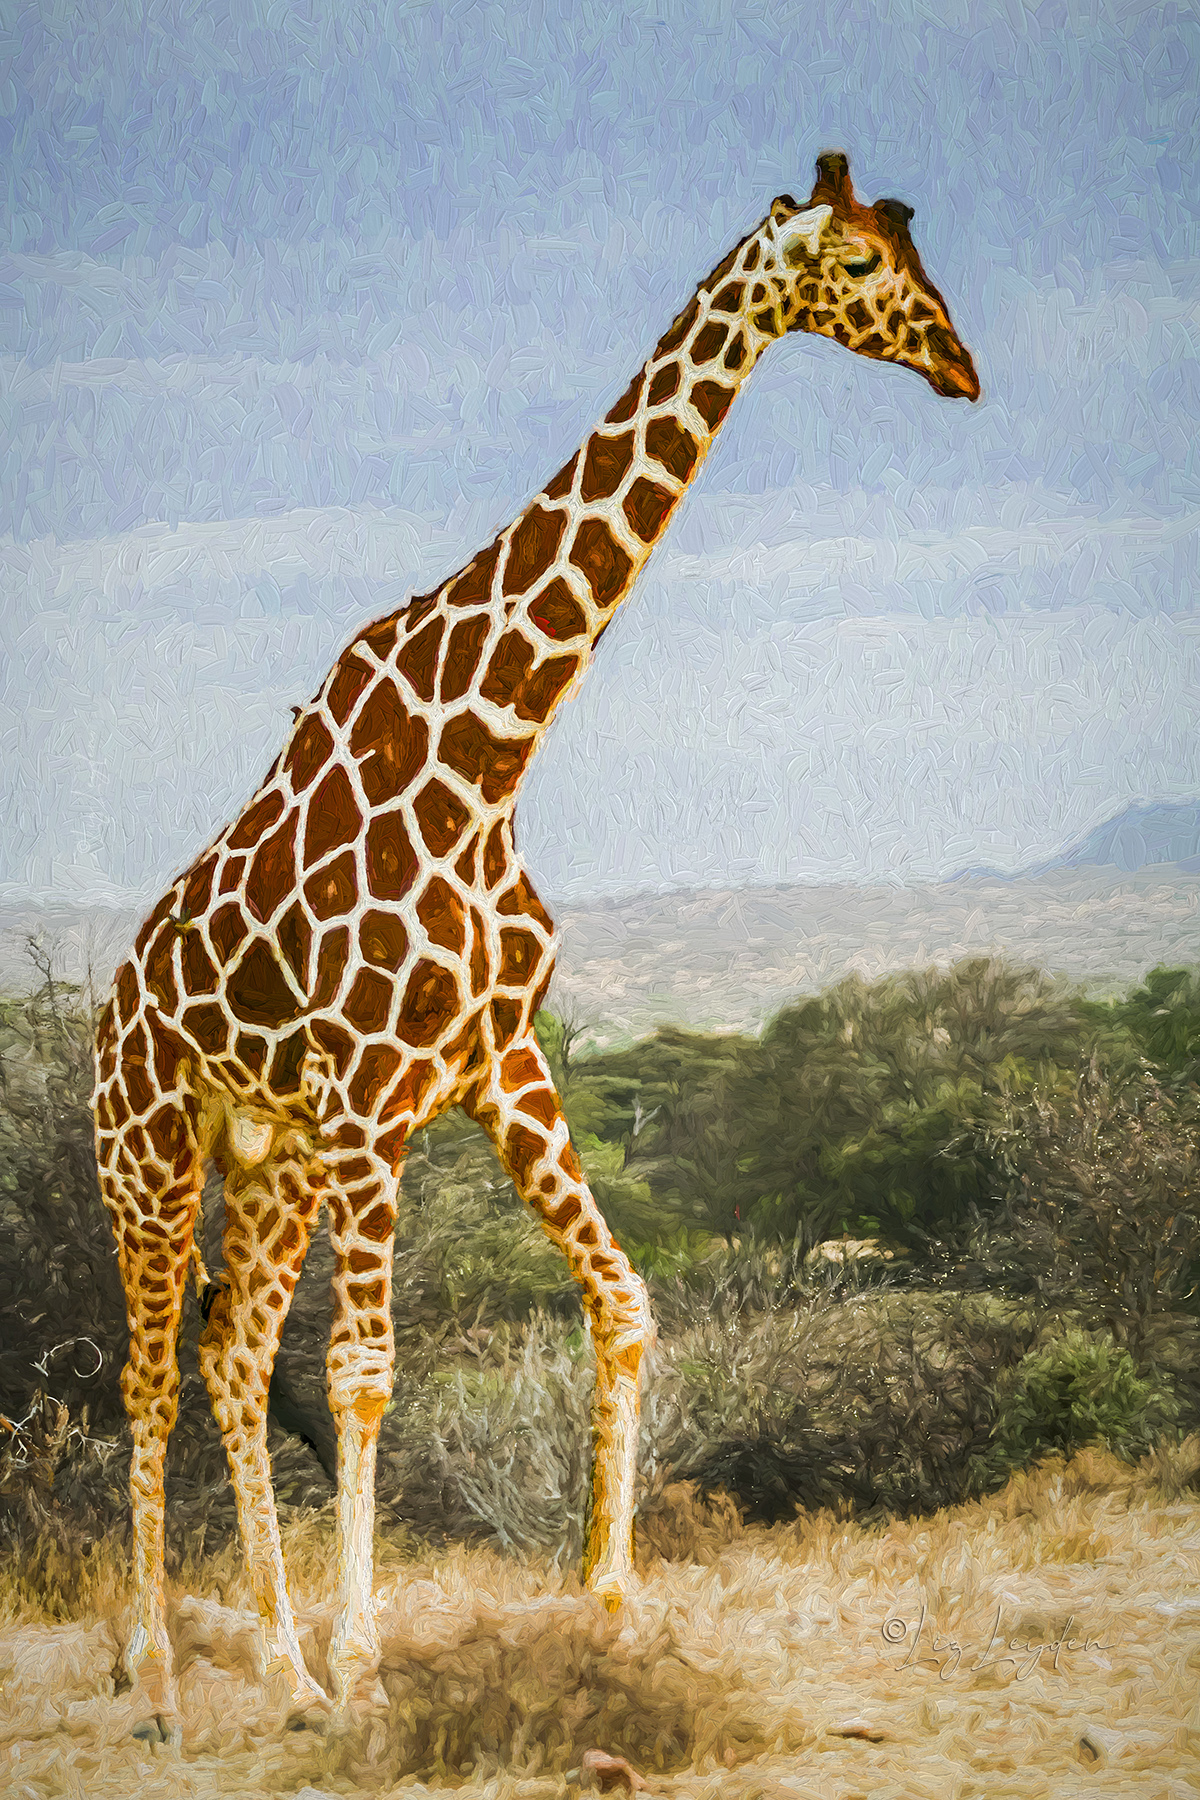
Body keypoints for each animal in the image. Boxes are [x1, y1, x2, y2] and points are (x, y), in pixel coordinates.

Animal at [94, 154, 978, 1742]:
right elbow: (368, 1374)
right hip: (150, 1152)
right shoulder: (375, 1096)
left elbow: (620, 1303)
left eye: (912, 246)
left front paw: (611, 1606)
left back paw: (281, 1670)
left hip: (269, 1161)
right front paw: (375, 1672)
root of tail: (106, 1010)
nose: (961, 363)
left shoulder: (498, 1067)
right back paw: (165, 1680)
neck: (492, 751)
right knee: (147, 1382)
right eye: (864, 265)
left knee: (231, 1359)